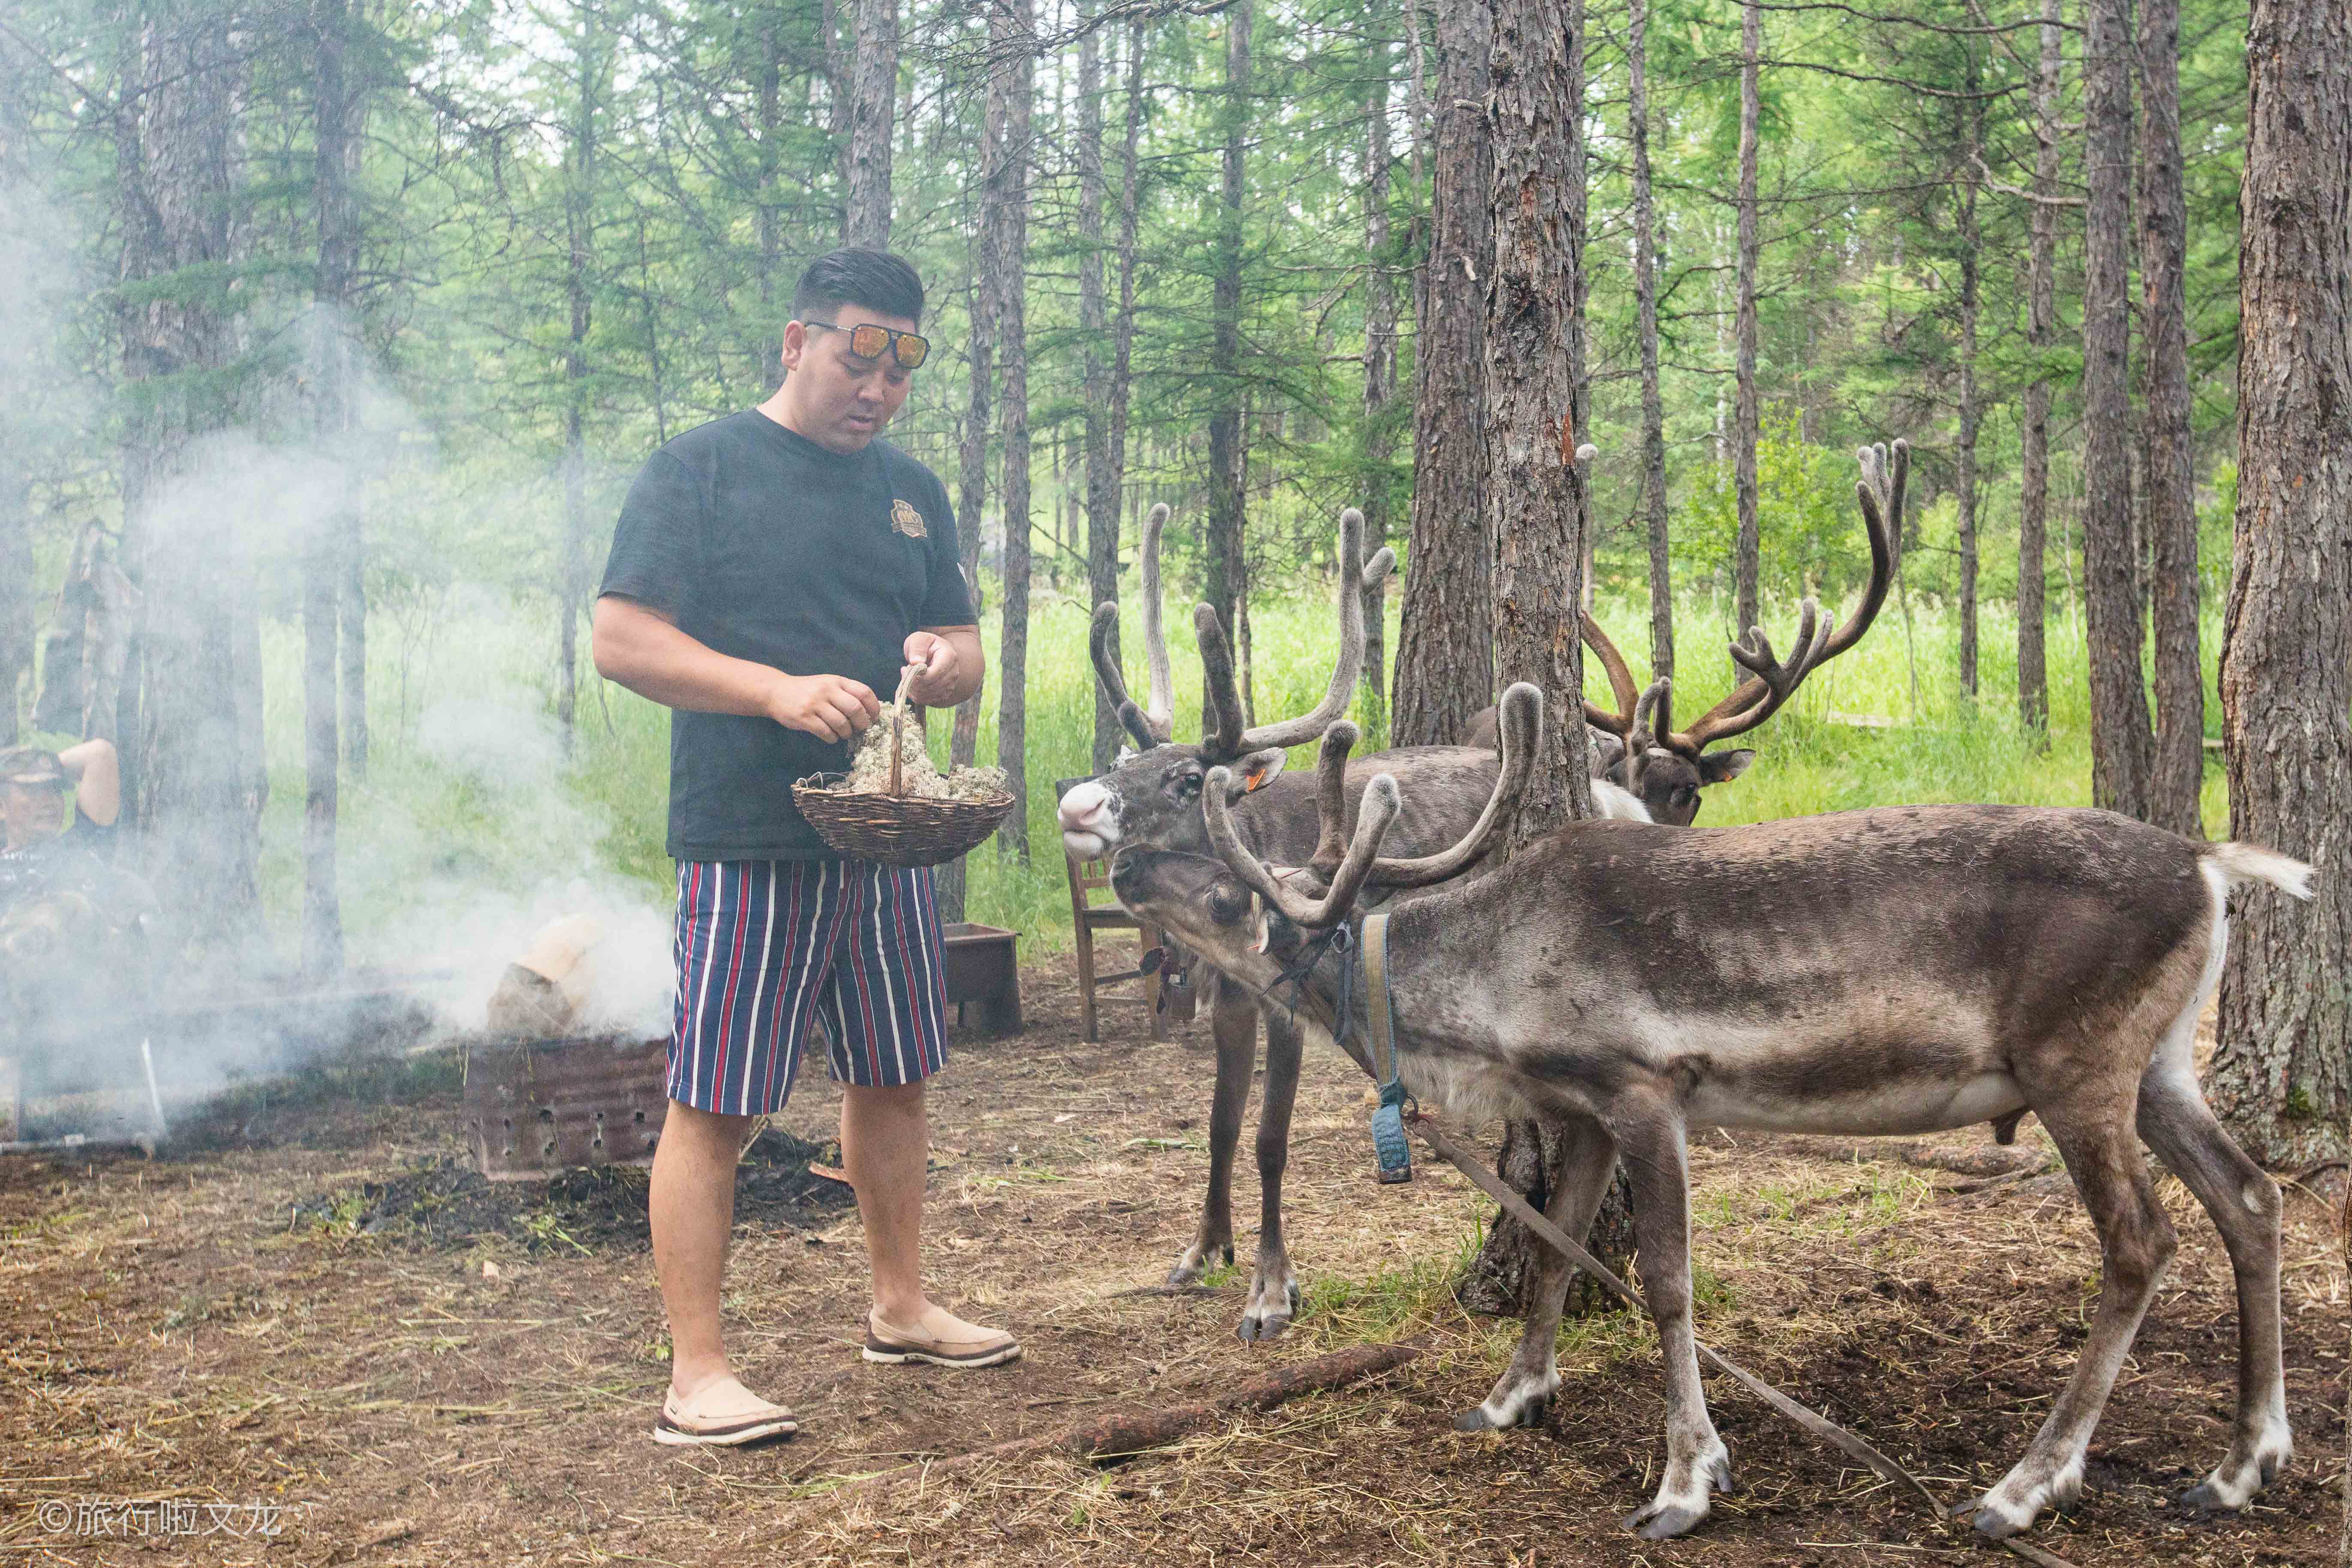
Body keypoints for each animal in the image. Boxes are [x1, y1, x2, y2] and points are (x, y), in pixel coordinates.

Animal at [1057, 501, 1648, 1341]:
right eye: (1119, 761)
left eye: (1185, 779)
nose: (1077, 804)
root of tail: (1607, 792)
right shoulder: (1231, 1001)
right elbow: (1219, 1125)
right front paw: (1202, 1250)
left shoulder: (1288, 1001)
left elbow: (1269, 1140)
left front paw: (1272, 1288)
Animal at [1105, 681, 2311, 1544]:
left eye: (1230, 888)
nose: (1120, 864)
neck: (1491, 981)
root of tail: (2210, 861)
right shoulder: (1586, 1111)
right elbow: (1555, 1251)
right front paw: (1511, 1396)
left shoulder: (1646, 1092)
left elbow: (1663, 1282)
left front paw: (1687, 1478)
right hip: (2160, 1069)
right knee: (2249, 1198)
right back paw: (2238, 1466)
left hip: (2078, 1071)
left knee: (2141, 1240)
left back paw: (2024, 1485)